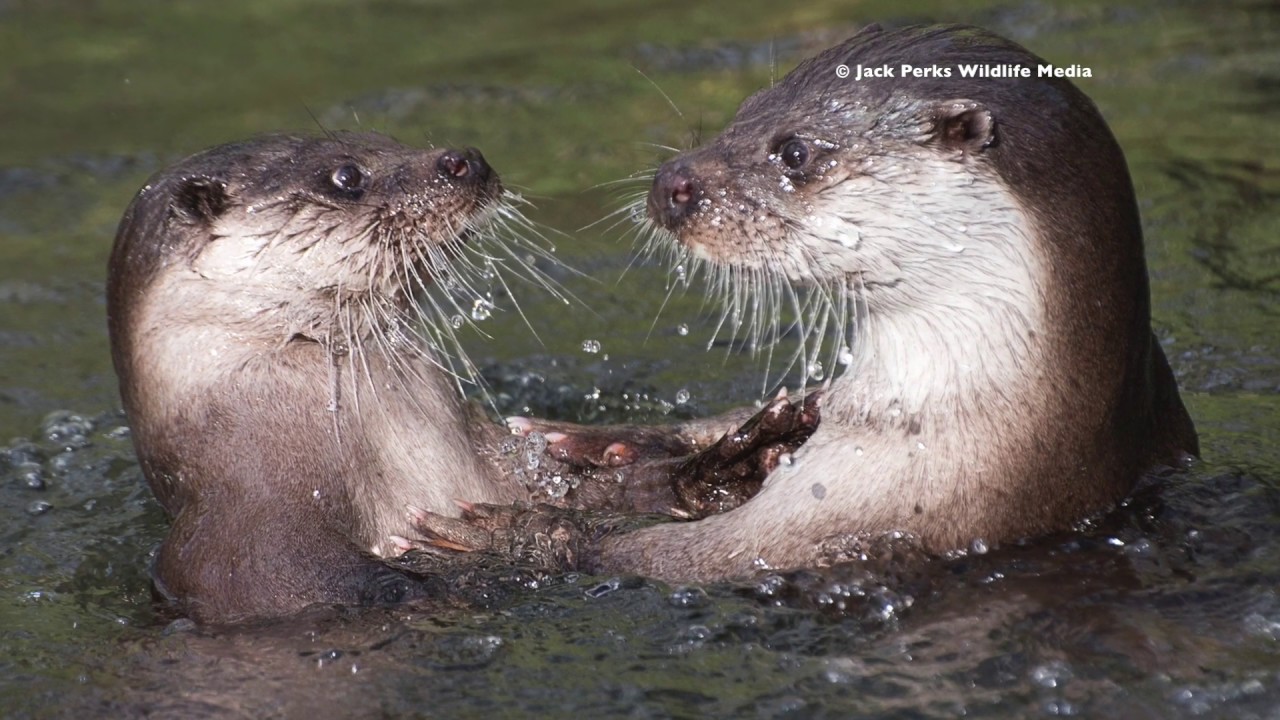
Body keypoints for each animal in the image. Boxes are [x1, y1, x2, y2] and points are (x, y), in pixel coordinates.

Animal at [414, 24, 1199, 581]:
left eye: (794, 151)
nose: (670, 183)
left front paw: (507, 533)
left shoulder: (853, 517)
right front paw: (588, 440)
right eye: (742, 112)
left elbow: (645, 557)